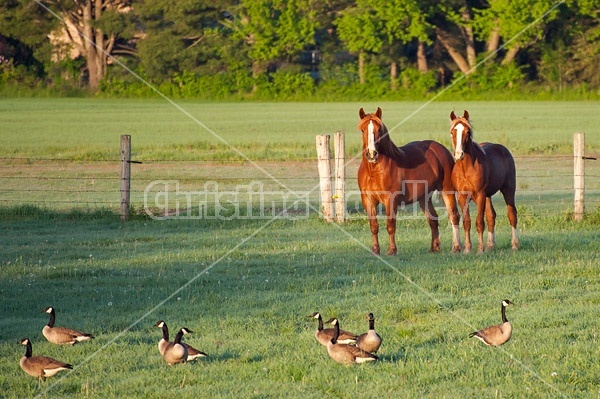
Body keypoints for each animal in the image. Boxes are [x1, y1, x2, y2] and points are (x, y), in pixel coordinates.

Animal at [356, 107, 464, 256]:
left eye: (379, 130)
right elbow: (374, 226)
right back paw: (434, 248)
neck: (373, 170)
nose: (372, 154)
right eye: (362, 130)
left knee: (454, 216)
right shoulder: (367, 199)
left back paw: (456, 247)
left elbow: (390, 225)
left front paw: (392, 250)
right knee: (433, 219)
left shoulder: (390, 200)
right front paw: (375, 251)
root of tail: (440, 149)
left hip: (447, 191)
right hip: (424, 197)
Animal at [450, 109, 520, 253]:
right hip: (488, 196)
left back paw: (515, 244)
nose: (459, 155)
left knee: (512, 214)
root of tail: (503, 149)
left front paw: (480, 249)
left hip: (508, 190)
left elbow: (479, 222)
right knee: (491, 216)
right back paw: (490, 245)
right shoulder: (462, 196)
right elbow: (467, 222)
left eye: (467, 132)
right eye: (452, 132)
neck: (466, 168)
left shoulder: (480, 194)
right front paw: (467, 249)